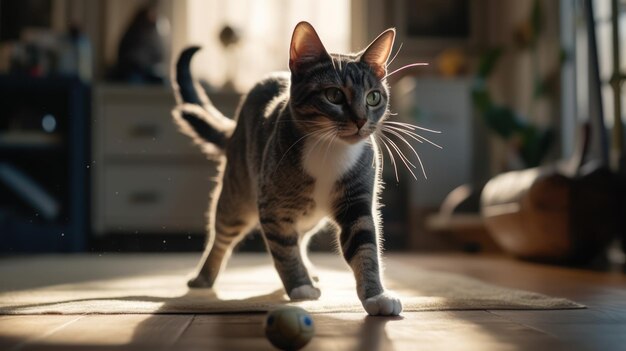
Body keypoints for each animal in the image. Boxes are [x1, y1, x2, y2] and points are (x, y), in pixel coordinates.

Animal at [173, 21, 402, 316]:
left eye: (373, 97)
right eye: (334, 95)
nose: (362, 120)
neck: (330, 149)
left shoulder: (357, 200)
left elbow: (365, 246)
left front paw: (377, 296)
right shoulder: (274, 207)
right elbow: (284, 249)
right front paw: (300, 287)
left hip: (307, 215)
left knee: (300, 238)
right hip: (238, 195)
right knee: (222, 235)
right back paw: (204, 277)